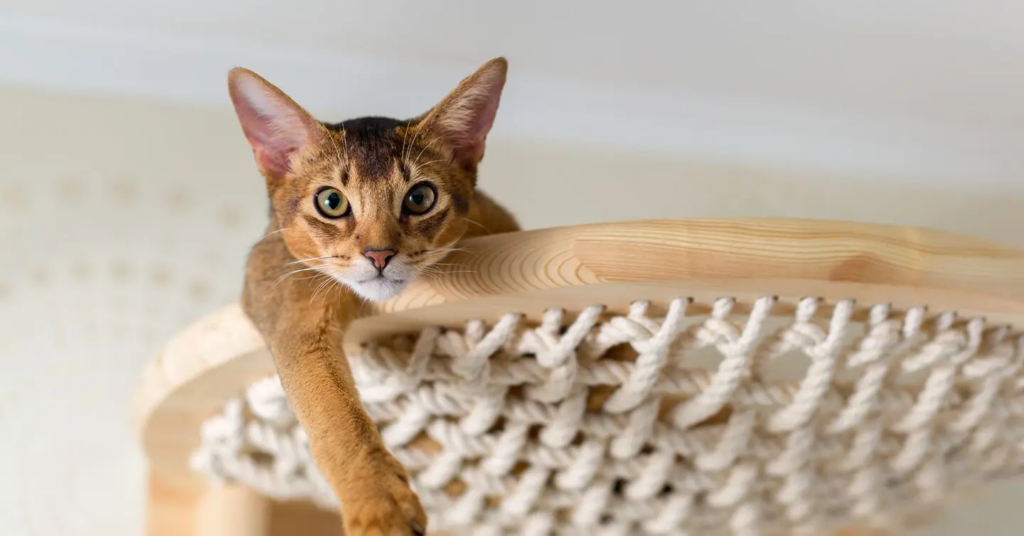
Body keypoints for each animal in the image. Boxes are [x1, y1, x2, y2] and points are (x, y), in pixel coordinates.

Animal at [229, 58, 524, 536]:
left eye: (420, 197)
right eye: (331, 201)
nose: (379, 254)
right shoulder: (285, 297)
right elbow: (331, 412)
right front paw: (379, 506)